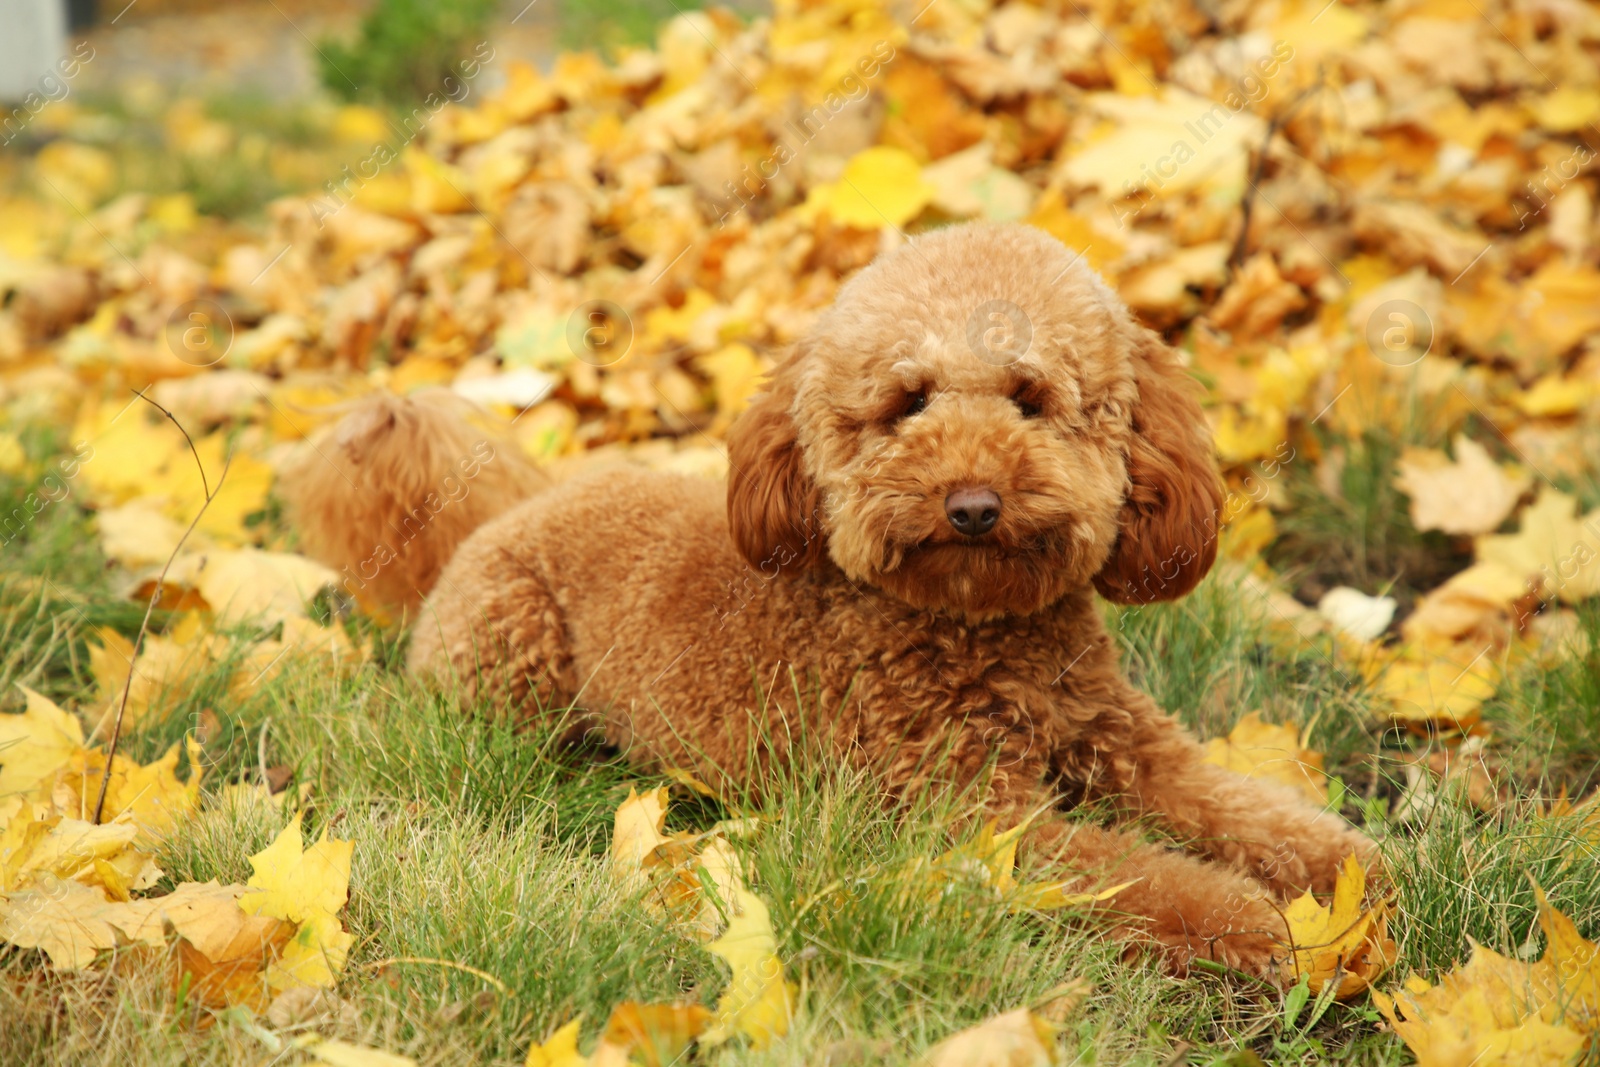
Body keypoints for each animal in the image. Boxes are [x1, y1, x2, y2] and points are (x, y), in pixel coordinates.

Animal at [281, 220, 1369, 979]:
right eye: (906, 402)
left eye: (1031, 398)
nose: (973, 503)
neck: (978, 631)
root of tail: (502, 516)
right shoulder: (972, 817)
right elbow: (1144, 874)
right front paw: (1259, 924)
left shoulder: (1130, 741)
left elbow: (1236, 804)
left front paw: (1341, 868)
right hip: (511, 660)